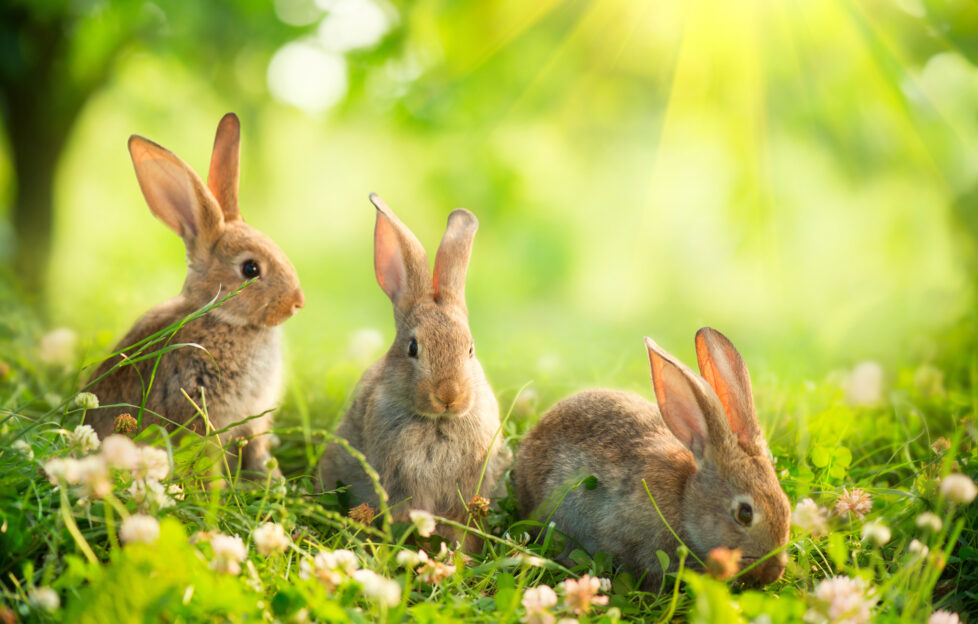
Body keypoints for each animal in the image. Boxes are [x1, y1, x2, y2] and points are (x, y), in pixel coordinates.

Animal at [86, 113, 304, 472]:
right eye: (250, 269)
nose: (297, 303)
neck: (221, 317)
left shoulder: (253, 421)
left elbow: (257, 450)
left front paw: (271, 478)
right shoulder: (197, 407)